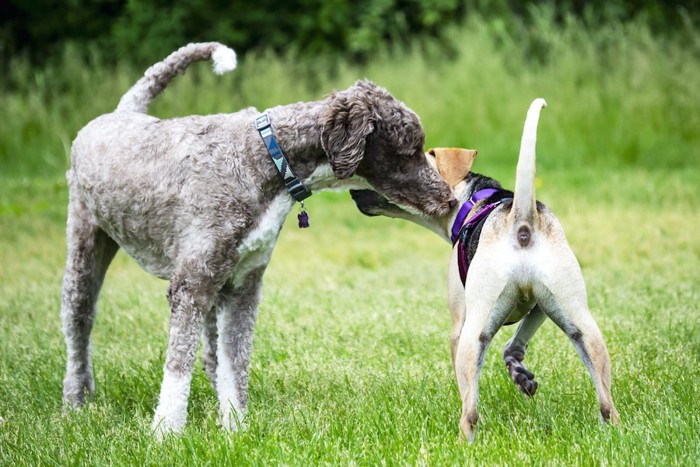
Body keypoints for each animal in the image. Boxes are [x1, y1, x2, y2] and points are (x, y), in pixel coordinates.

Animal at [60, 42, 454, 436]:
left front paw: (235, 428)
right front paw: (166, 432)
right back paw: (76, 402)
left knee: (211, 354)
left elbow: (234, 364)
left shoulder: (243, 285)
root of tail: (121, 111)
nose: (449, 199)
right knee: (79, 329)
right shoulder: (190, 285)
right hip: (85, 248)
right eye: (409, 150)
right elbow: (178, 367)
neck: (268, 157)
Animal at [352, 99, 620, 442]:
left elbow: (466, 385)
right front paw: (520, 375)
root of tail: (521, 220)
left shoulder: (459, 325)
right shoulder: (541, 306)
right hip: (581, 322)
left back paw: (464, 441)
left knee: (470, 411)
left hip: (474, 332)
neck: (471, 203)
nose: (353, 191)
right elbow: (515, 344)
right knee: (607, 403)